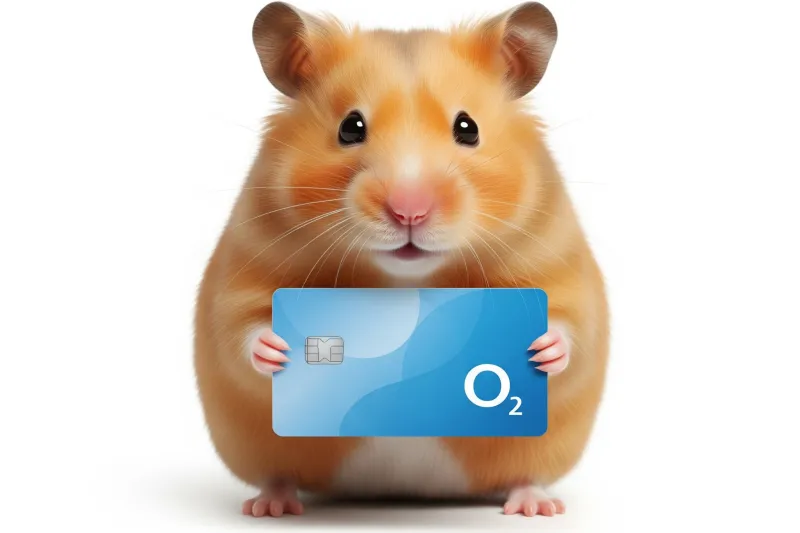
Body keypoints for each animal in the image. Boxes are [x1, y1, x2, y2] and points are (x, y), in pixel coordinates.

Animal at [193, 0, 609, 519]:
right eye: (350, 127)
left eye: (467, 128)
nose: (409, 210)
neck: (405, 280)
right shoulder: (246, 263)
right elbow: (242, 327)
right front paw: (278, 350)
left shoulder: (557, 259)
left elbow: (570, 327)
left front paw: (541, 350)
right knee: (277, 475)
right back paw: (270, 506)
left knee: (526, 475)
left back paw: (535, 506)